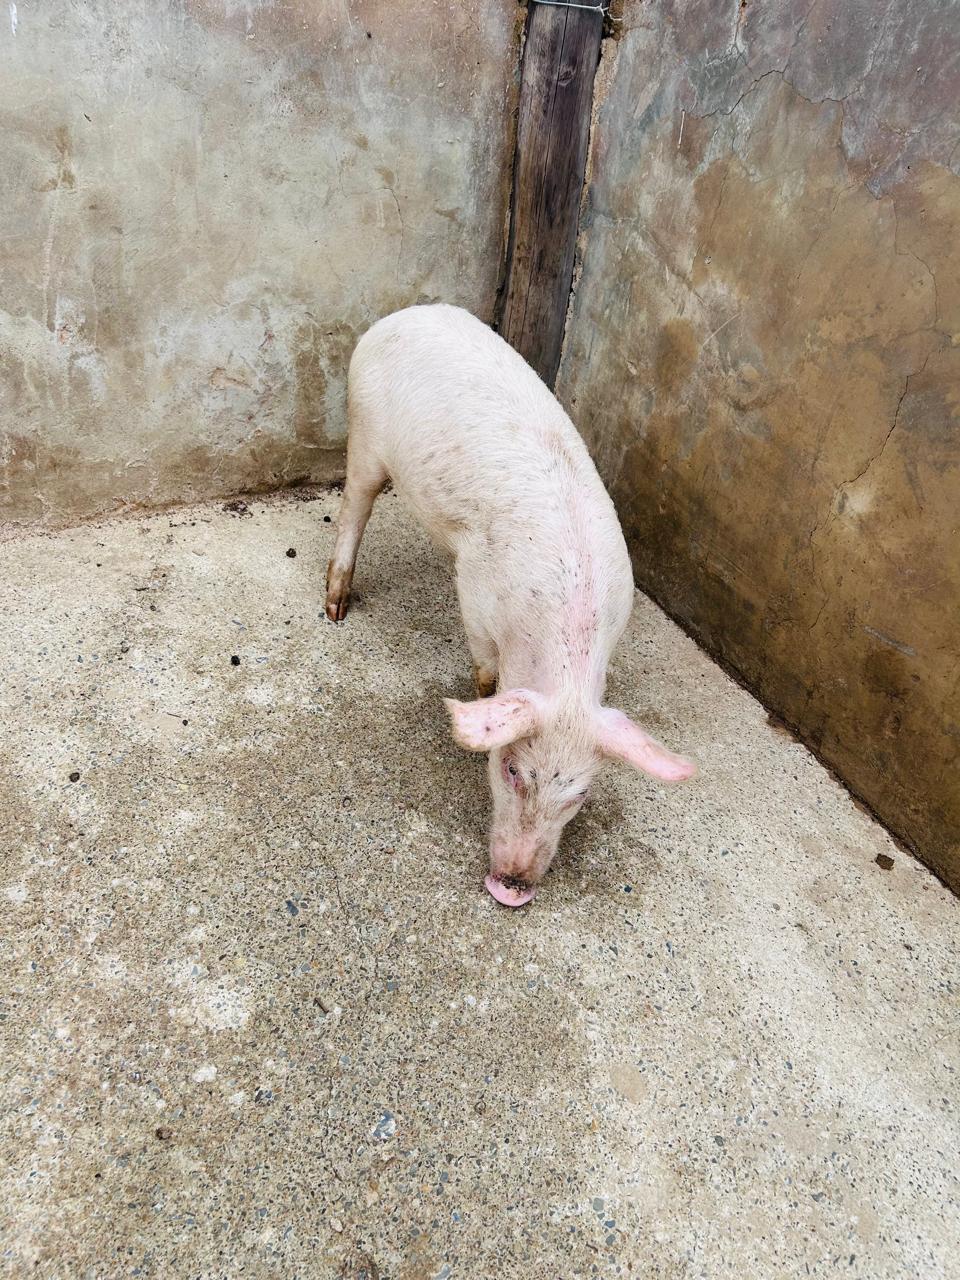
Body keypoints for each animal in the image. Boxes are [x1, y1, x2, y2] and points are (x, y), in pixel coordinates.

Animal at [325, 304, 696, 906]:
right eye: (513, 770)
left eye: (580, 795)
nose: (513, 888)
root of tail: (404, 314)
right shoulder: (475, 595)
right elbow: (484, 672)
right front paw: (483, 695)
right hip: (365, 432)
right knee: (354, 505)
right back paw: (335, 608)